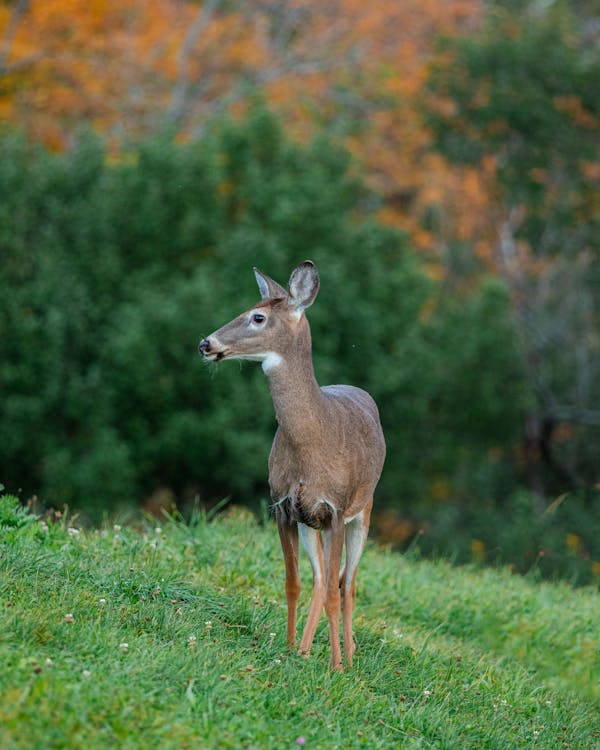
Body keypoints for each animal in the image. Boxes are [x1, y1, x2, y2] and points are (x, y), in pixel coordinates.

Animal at [197, 262, 384, 672]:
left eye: (258, 317)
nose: (206, 343)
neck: (312, 445)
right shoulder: (283, 505)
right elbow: (292, 582)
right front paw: (286, 647)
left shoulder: (335, 508)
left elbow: (334, 591)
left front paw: (336, 666)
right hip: (308, 523)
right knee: (321, 578)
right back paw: (304, 649)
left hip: (364, 511)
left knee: (347, 583)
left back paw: (349, 655)